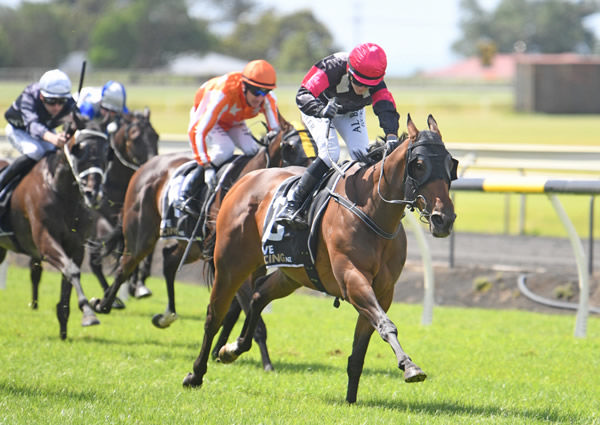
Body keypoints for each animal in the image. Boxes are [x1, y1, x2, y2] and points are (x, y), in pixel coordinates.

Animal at [0, 114, 110, 340]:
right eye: (79, 148)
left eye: (107, 151)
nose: (93, 194)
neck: (63, 192)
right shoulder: (45, 241)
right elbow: (72, 271)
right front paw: (88, 313)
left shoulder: (76, 246)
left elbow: (69, 275)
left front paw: (65, 327)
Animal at [91, 118, 312, 368]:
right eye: (290, 146)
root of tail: (146, 166)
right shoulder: (229, 261)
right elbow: (243, 307)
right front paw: (264, 361)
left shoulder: (251, 265)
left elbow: (236, 309)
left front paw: (221, 349)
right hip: (142, 231)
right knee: (126, 265)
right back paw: (104, 304)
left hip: (193, 247)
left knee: (168, 259)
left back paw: (167, 315)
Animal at [180, 114, 458, 402]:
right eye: (419, 164)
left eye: (451, 163)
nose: (444, 218)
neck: (372, 211)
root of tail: (244, 181)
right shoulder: (352, 279)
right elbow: (385, 324)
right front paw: (410, 366)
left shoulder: (383, 290)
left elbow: (361, 347)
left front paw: (351, 399)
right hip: (230, 265)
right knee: (214, 316)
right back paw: (196, 374)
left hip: (291, 273)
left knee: (258, 295)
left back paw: (232, 349)